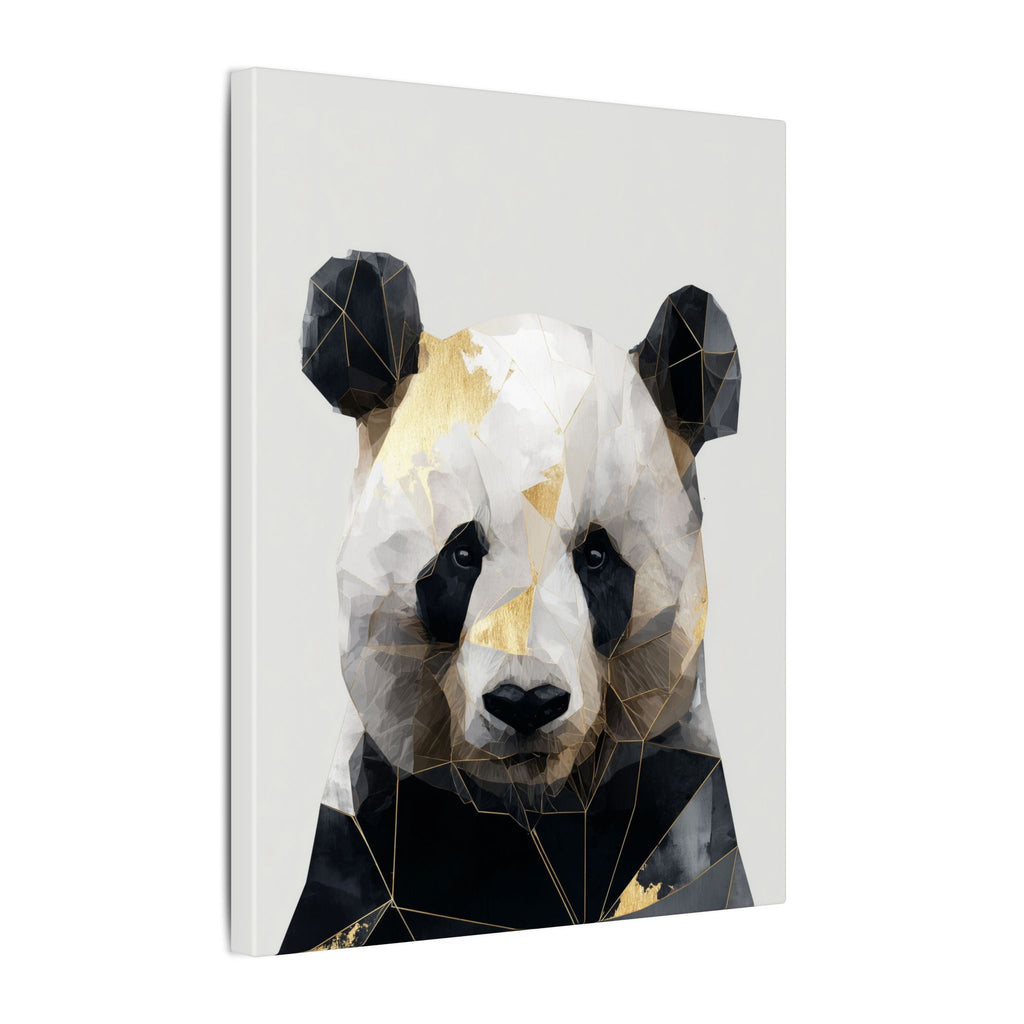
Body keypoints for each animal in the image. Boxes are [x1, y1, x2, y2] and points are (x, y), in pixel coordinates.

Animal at [280, 250, 752, 953]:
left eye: (596, 557)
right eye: (461, 555)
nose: (527, 704)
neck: (529, 812)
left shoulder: (673, 816)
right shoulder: (372, 839)